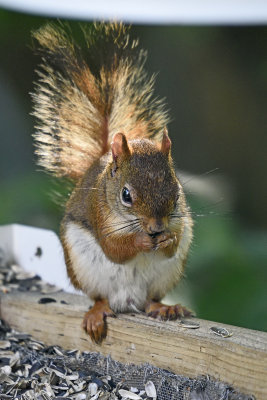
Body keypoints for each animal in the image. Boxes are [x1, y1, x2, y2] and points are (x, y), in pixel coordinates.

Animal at [32, 21, 194, 342]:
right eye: (126, 196)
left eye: (176, 193)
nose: (156, 227)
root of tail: (127, 300)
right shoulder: (100, 214)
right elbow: (113, 248)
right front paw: (140, 240)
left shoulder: (180, 221)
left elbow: (171, 244)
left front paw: (166, 239)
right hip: (84, 269)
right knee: (100, 297)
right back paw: (97, 314)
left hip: (165, 276)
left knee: (151, 298)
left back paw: (165, 308)